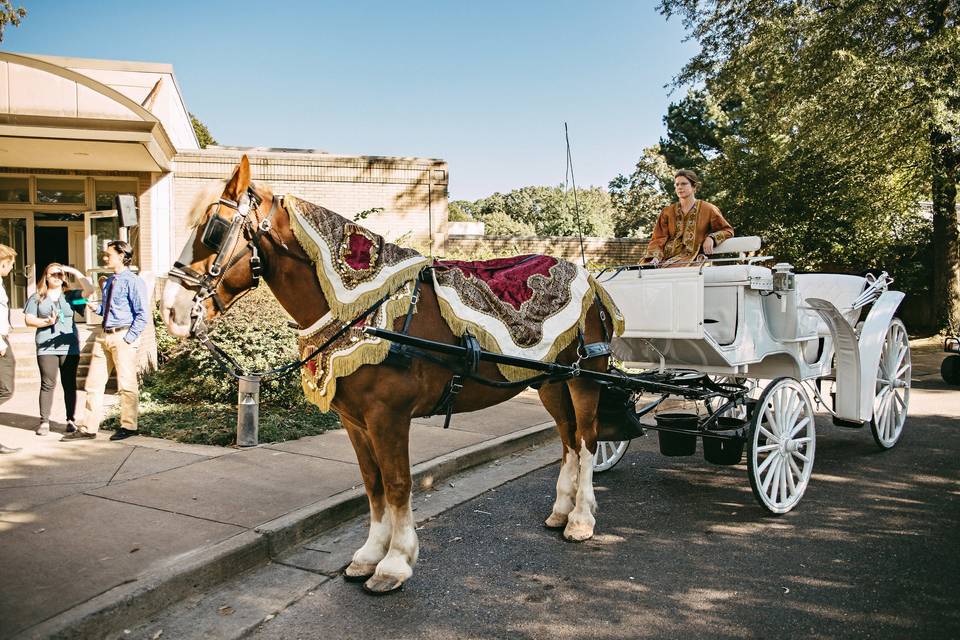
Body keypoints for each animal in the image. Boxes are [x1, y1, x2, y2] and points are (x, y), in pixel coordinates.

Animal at [160, 159, 616, 596]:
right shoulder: (355, 420)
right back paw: (561, 511)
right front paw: (368, 555)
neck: (360, 306)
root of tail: (590, 280)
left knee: (588, 441)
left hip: (584, 378)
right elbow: (372, 484)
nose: (170, 309)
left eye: (214, 231)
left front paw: (395, 563)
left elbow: (397, 484)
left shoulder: (388, 416)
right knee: (568, 440)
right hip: (552, 382)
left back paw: (581, 518)